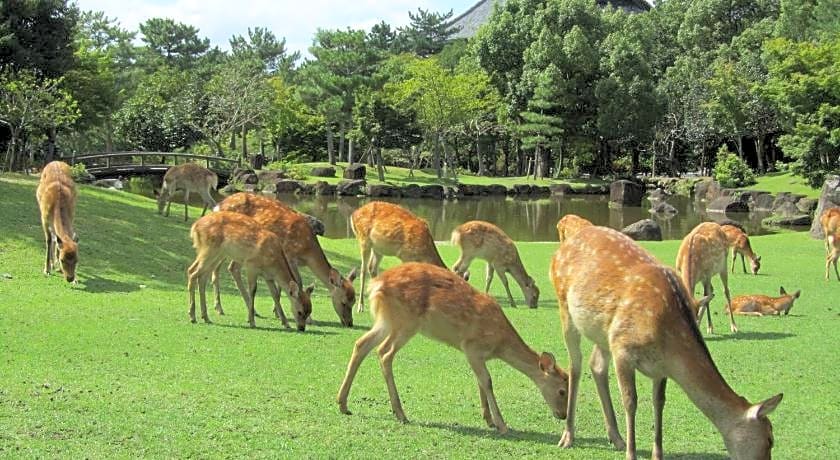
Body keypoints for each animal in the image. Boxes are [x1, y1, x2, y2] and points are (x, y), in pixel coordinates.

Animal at [210, 192, 358, 326]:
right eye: (344, 302)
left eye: (354, 301)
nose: (349, 323)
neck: (307, 250)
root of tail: (218, 206)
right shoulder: (289, 254)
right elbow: (298, 282)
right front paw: (308, 319)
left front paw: (276, 312)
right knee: (226, 268)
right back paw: (224, 309)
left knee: (226, 268)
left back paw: (244, 310)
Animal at [338, 260, 568, 434]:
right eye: (562, 391)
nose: (563, 415)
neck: (499, 344)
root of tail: (376, 285)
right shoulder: (472, 347)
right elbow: (488, 381)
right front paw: (502, 425)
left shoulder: (476, 355)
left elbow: (480, 381)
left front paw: (489, 420)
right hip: (406, 322)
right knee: (384, 353)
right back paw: (401, 413)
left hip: (387, 320)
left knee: (361, 344)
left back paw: (343, 404)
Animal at [552, 226, 780, 460]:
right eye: (769, 439)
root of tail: (562, 247)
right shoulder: (623, 350)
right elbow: (630, 402)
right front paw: (631, 454)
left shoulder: (659, 367)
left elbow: (659, 402)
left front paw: (656, 454)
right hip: (565, 307)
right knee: (575, 365)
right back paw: (568, 436)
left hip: (604, 332)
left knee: (596, 365)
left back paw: (616, 438)